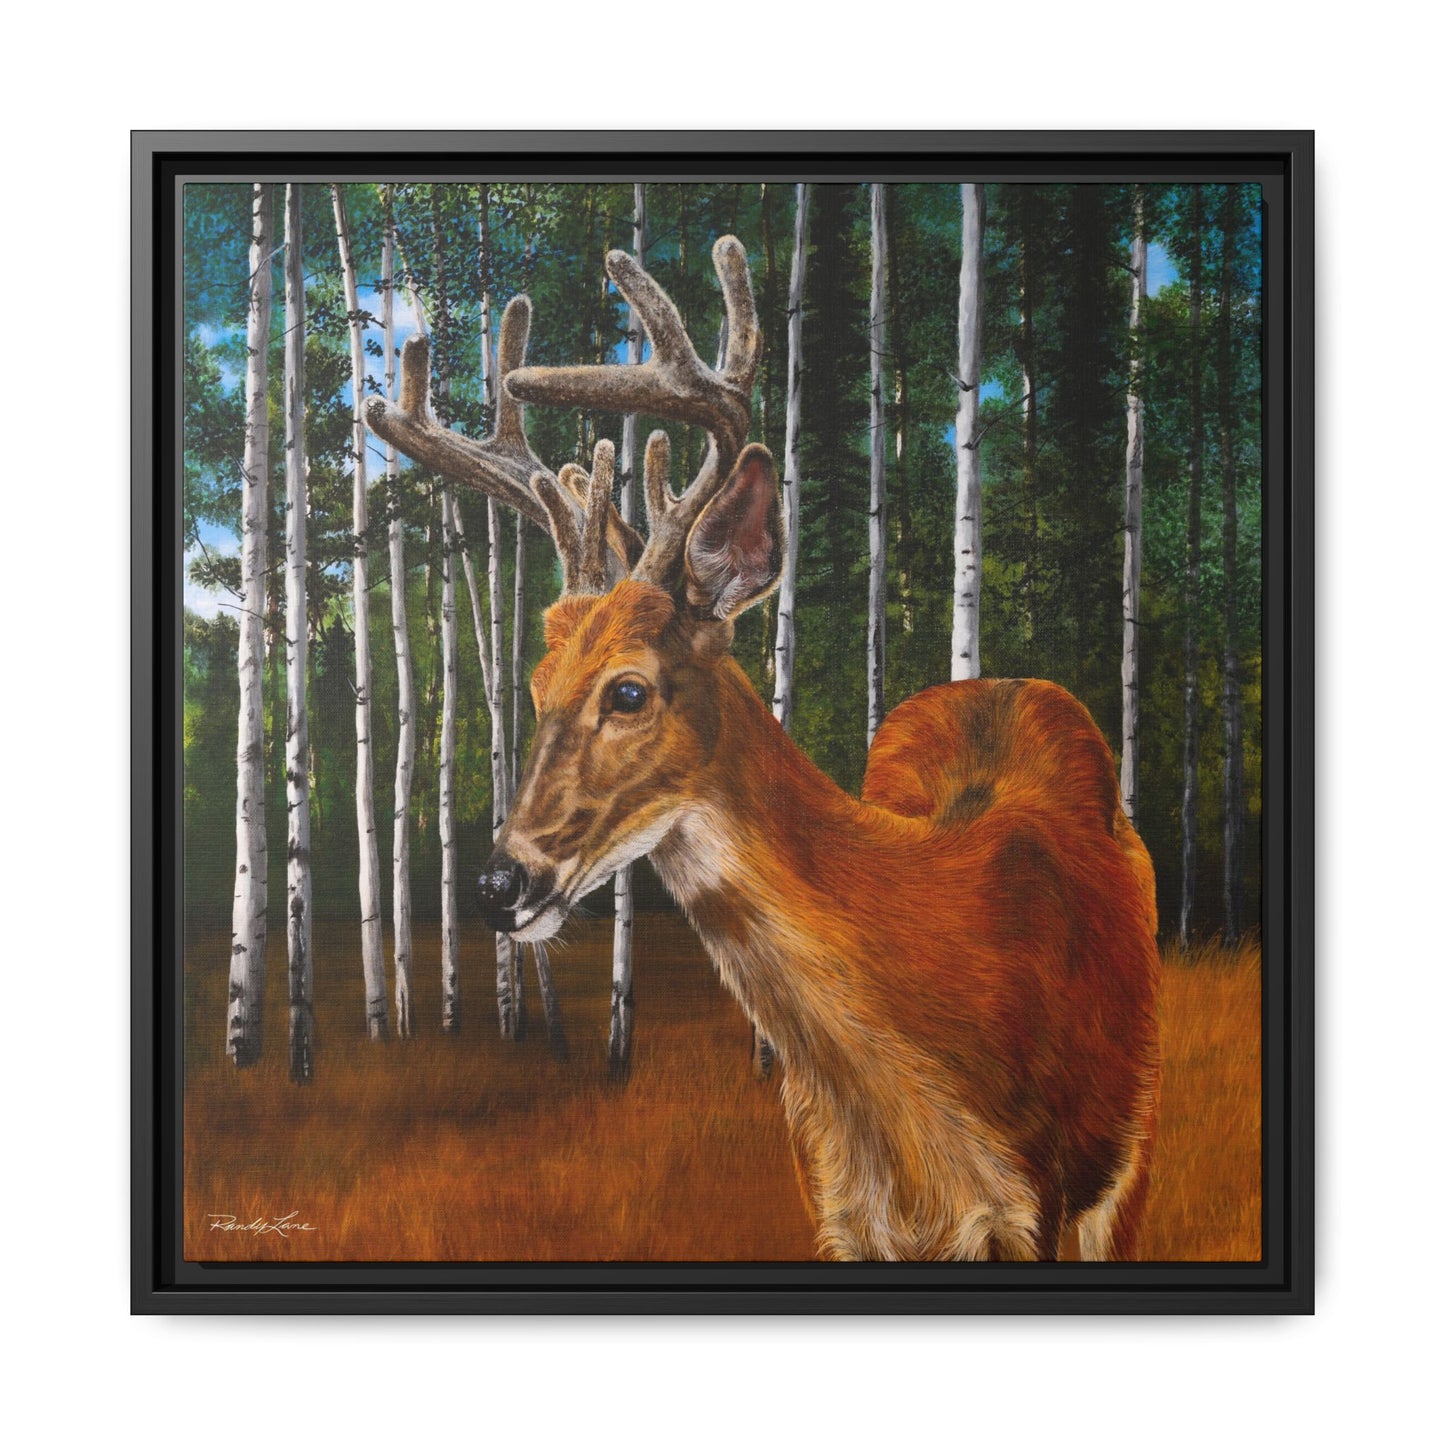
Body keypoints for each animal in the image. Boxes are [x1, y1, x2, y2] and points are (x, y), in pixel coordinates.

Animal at [366, 235, 1160, 1263]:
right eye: (535, 688)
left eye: (628, 689)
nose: (498, 883)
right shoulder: (831, 1203)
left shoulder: (1039, 1204)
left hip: (1128, 1158)